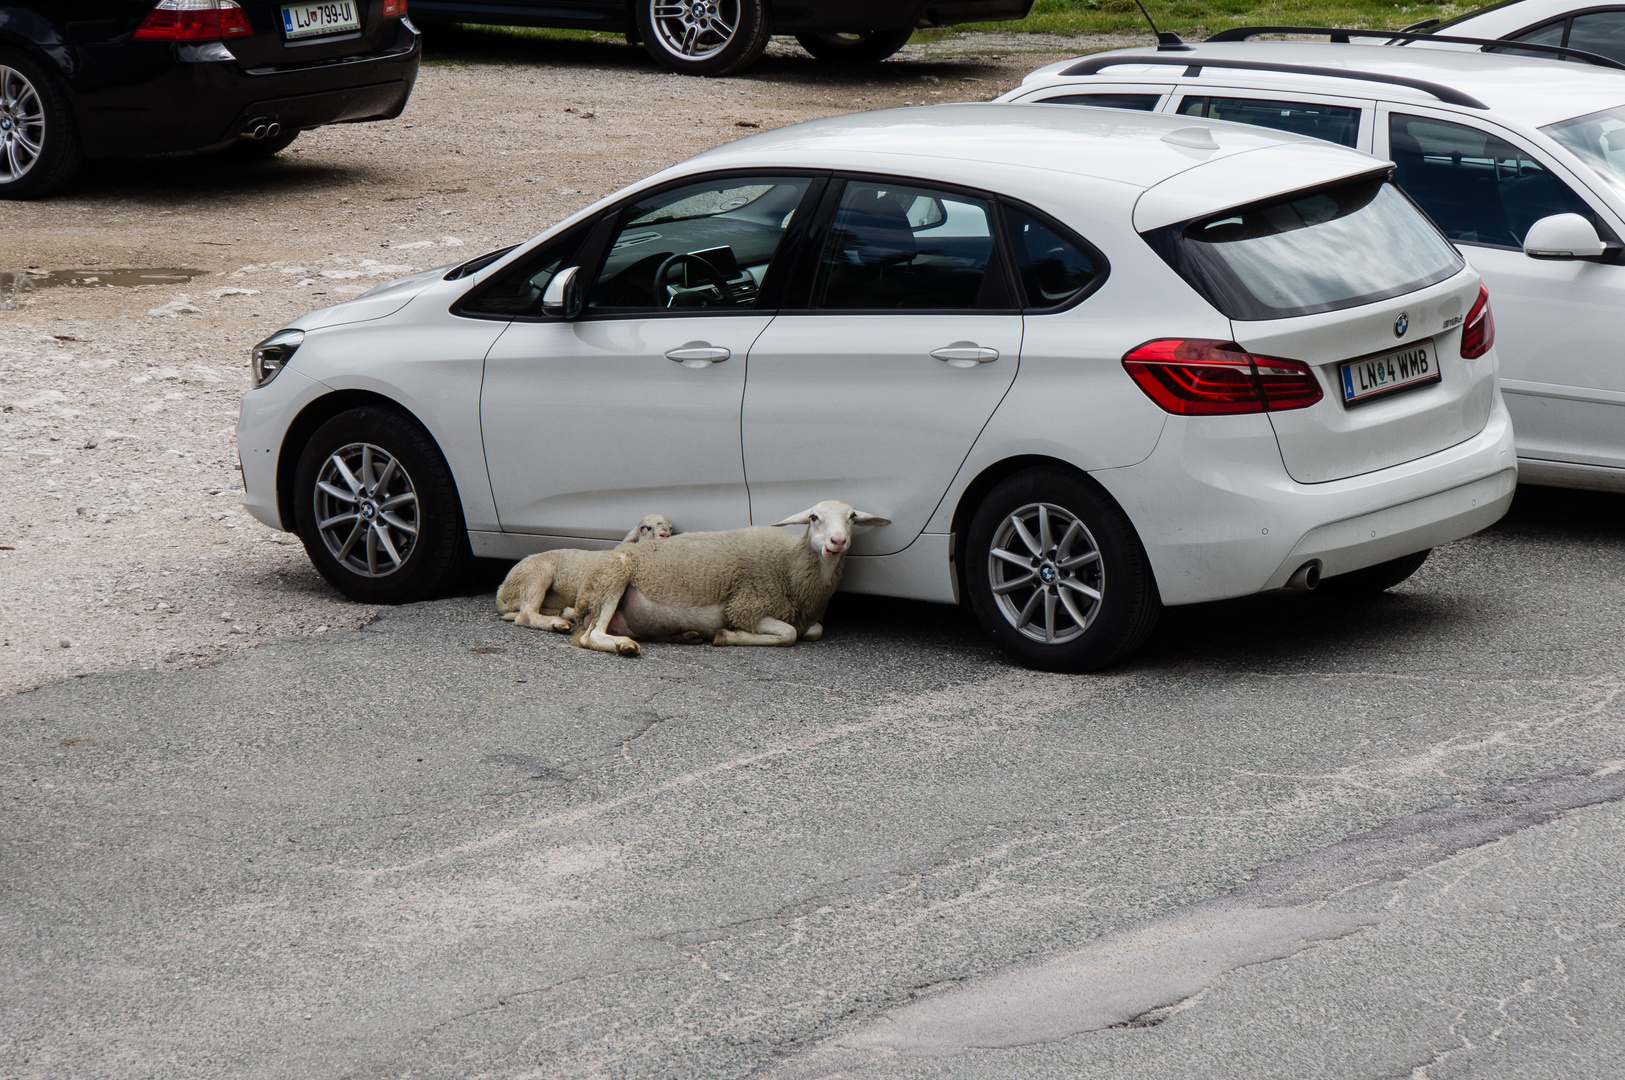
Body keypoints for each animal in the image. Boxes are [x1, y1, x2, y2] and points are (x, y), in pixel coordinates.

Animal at [494, 513, 672, 633]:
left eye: (671, 528)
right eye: (644, 528)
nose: (664, 535)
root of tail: (502, 588)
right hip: (536, 574)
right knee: (525, 614)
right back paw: (558, 623)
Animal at [562, 500, 890, 656]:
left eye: (852, 517)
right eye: (814, 518)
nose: (837, 541)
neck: (789, 563)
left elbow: (813, 630)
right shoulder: (748, 607)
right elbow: (789, 634)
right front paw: (727, 635)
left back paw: (685, 636)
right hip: (613, 577)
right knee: (592, 636)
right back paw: (625, 646)